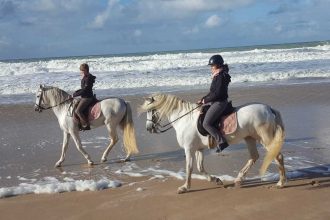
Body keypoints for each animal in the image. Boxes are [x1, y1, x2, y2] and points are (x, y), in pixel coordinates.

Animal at [140, 93, 286, 193]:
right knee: (254, 156)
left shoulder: (189, 149)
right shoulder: (199, 149)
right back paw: (239, 179)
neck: (184, 119)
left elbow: (189, 168)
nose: (148, 128)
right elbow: (200, 168)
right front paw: (216, 180)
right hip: (249, 138)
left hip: (265, 138)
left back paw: (280, 183)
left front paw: (185, 187)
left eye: (150, 110)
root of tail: (269, 109)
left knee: (278, 156)